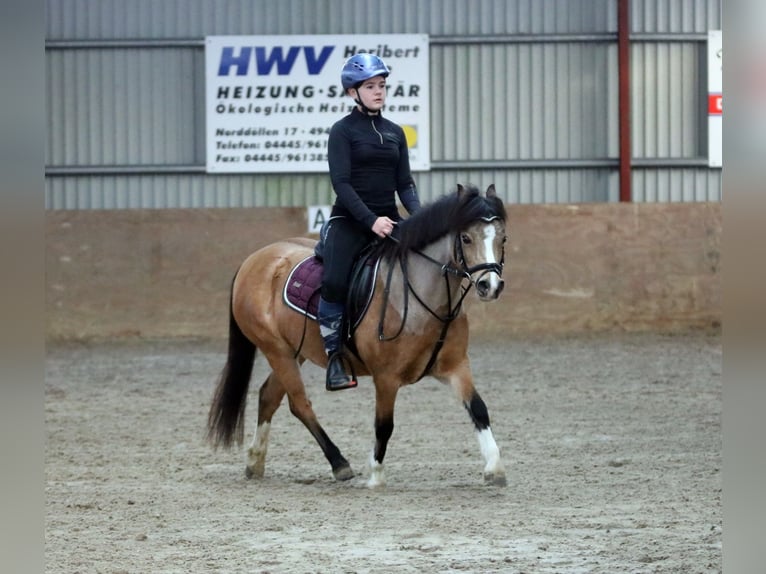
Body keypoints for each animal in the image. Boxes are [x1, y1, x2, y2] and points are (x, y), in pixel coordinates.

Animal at [207, 184, 512, 490]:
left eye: (503, 237)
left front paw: (494, 468)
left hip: (295, 352)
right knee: (299, 403)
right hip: (277, 351)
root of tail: (254, 259)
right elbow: (384, 425)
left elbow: (478, 409)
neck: (421, 299)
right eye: (466, 238)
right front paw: (375, 475)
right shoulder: (386, 377)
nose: (490, 286)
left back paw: (255, 462)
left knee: (269, 396)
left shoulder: (456, 366)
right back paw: (339, 463)